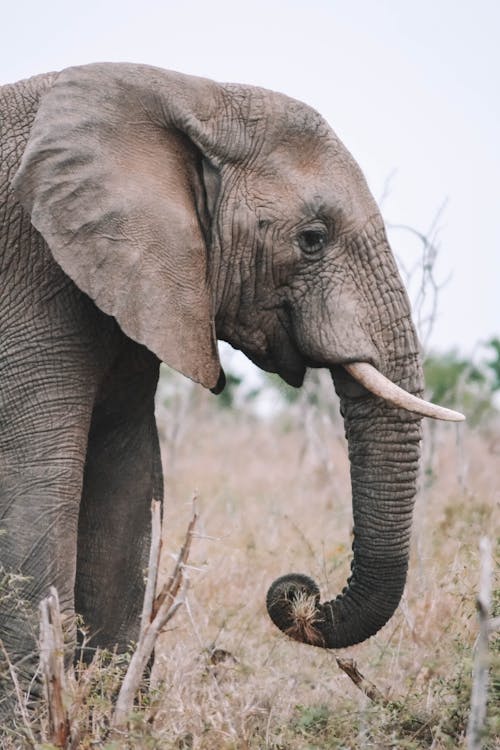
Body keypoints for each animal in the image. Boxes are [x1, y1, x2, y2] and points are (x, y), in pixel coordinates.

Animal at [0, 61, 464, 708]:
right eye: (313, 238)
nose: (299, 592)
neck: (184, 93)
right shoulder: (32, 273)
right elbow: (38, 479)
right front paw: (37, 717)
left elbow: (128, 477)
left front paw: (113, 712)